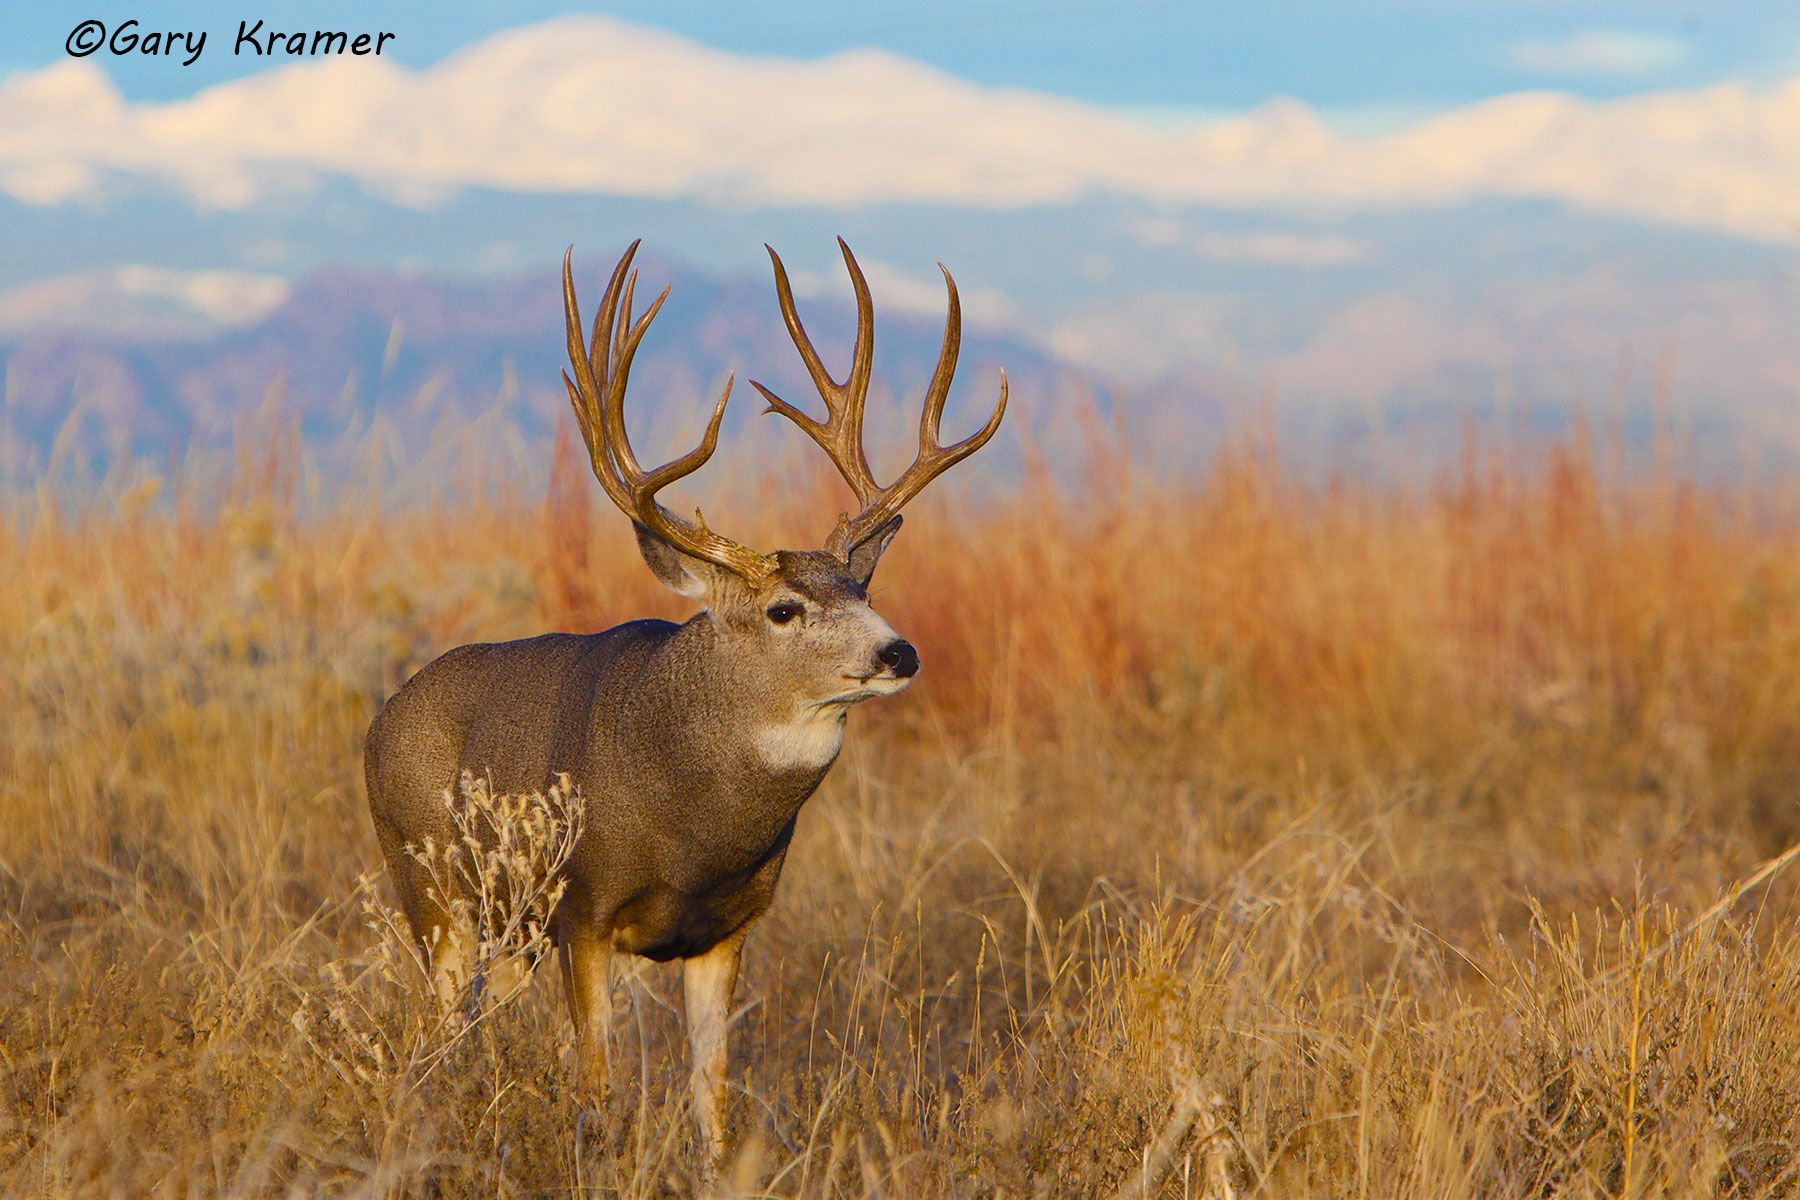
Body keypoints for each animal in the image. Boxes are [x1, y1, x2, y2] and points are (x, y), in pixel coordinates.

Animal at [363, 237, 1007, 1169]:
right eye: (785, 609)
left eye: (862, 587)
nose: (900, 651)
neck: (694, 828)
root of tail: (380, 717)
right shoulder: (583, 912)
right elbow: (596, 1092)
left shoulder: (728, 929)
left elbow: (714, 1098)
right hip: (431, 889)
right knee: (434, 1032)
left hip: (503, 931)